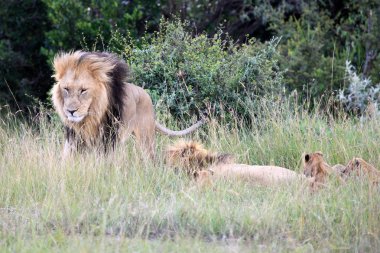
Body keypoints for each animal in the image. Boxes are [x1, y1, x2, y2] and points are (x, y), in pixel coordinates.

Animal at [52, 51, 205, 158]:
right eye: (66, 89)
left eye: (83, 90)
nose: (70, 111)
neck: (90, 118)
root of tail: (146, 95)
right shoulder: (74, 138)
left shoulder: (109, 138)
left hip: (145, 139)